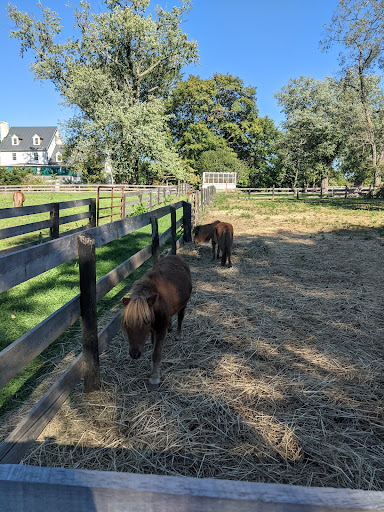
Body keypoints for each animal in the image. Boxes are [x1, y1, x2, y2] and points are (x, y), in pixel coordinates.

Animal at [121, 254, 191, 390]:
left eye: (146, 322)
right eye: (126, 323)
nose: (134, 354)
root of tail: (175, 257)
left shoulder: (159, 330)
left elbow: (156, 353)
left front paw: (154, 377)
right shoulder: (154, 330)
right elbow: (154, 345)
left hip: (184, 304)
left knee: (180, 317)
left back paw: (178, 334)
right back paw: (170, 327)